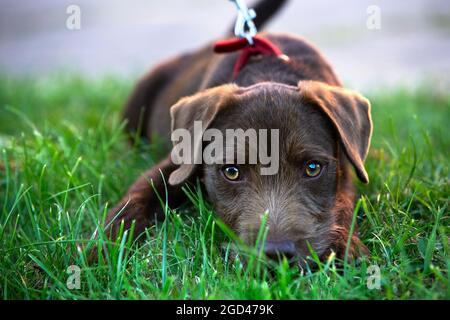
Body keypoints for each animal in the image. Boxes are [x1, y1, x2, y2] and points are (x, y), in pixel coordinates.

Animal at [106, 0, 372, 262]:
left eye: (313, 168)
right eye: (232, 172)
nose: (277, 252)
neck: (268, 72)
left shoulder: (344, 169)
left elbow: (343, 201)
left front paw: (346, 248)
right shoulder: (178, 162)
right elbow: (138, 196)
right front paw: (104, 247)